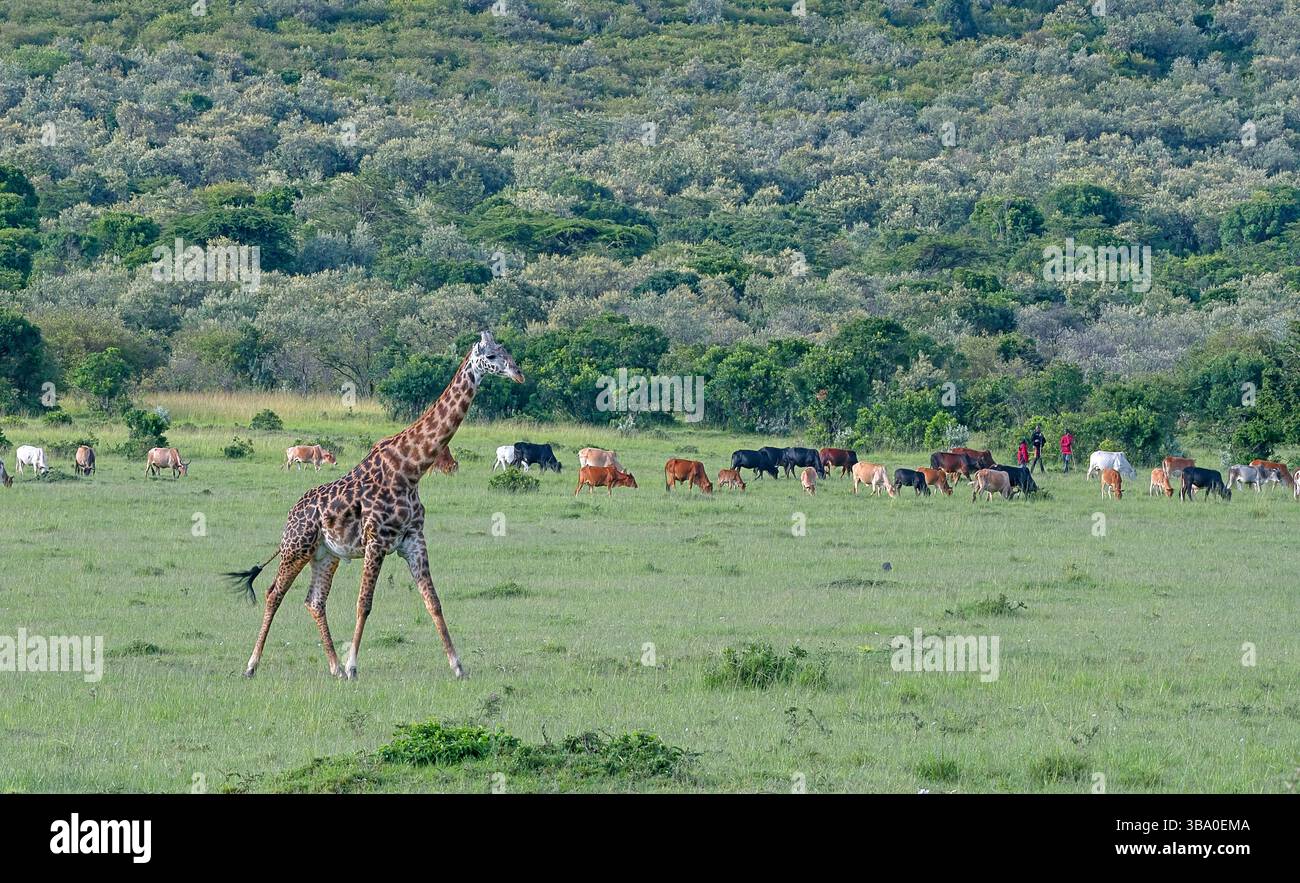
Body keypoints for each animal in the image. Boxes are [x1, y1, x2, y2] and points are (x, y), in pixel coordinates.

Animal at [226, 331, 524, 680]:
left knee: (315, 601)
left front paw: (458, 666)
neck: (412, 469)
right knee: (274, 593)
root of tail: (291, 514)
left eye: (507, 351)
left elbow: (433, 602)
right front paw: (354, 666)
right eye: (491, 356)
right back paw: (252, 665)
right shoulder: (376, 540)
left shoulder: (413, 539)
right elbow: (364, 603)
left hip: (325, 555)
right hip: (295, 547)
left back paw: (334, 667)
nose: (519, 374)